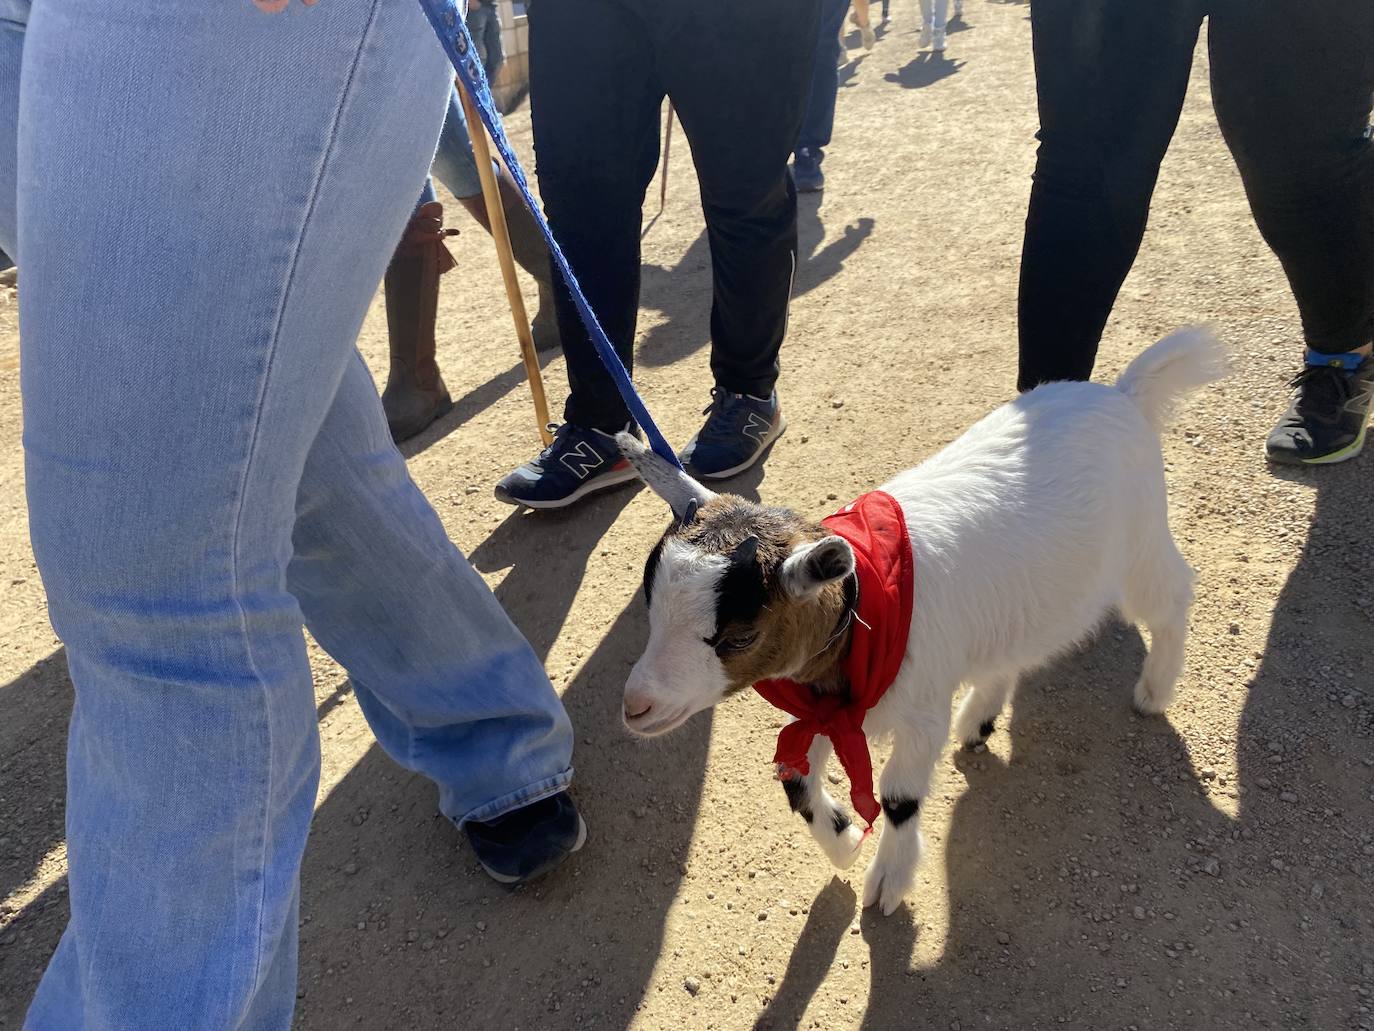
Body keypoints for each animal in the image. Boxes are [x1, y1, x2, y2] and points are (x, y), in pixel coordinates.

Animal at [618, 328, 1220, 912]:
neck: (865, 604)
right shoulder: (825, 708)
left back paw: (1155, 690)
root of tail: (1122, 394)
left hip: (1139, 544)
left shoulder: (918, 710)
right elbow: (797, 781)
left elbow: (898, 799)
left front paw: (888, 881)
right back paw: (980, 719)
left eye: (740, 637)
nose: (635, 707)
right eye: (651, 608)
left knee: (1173, 595)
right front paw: (844, 842)